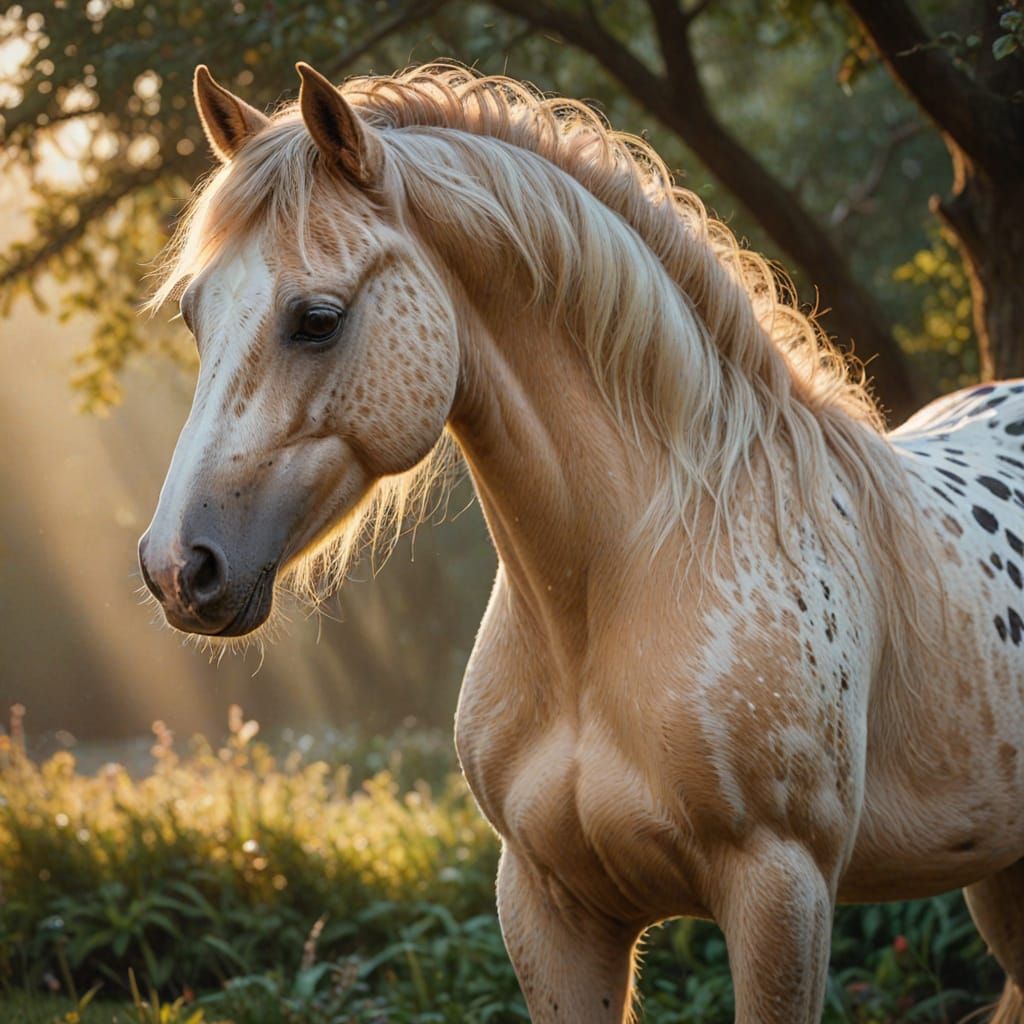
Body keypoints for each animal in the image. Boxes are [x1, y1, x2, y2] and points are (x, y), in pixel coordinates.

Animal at [137, 62, 1024, 1023]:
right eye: (194, 315)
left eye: (317, 319)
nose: (177, 568)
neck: (616, 591)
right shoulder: (547, 903)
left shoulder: (783, 893)